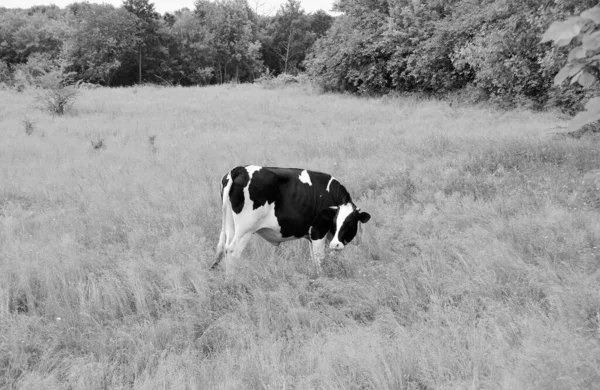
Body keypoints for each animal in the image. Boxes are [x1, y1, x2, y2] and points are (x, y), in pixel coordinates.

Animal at [211, 165, 370, 274]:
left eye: (349, 223)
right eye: (335, 222)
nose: (335, 245)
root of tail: (240, 169)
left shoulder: (312, 237)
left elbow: (314, 259)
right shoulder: (318, 232)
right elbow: (320, 259)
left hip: (230, 225)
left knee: (225, 249)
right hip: (245, 229)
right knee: (233, 252)